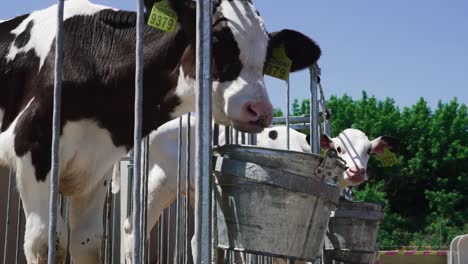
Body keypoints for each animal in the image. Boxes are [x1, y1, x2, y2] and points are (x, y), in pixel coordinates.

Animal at [0, 1, 320, 262]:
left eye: (267, 52)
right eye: (217, 38)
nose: (260, 109)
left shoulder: (95, 166)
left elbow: (87, 243)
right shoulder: (32, 144)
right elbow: (45, 243)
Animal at [122, 116, 400, 262]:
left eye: (368, 151)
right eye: (339, 149)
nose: (357, 171)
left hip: (196, 192)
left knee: (197, 239)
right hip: (157, 183)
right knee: (132, 229)